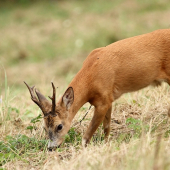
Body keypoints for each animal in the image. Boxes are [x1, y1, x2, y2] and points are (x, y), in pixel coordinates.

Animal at [24, 29, 170, 150]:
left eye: (59, 126)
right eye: (44, 127)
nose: (51, 147)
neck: (91, 76)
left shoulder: (103, 101)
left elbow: (88, 134)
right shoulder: (109, 99)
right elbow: (107, 127)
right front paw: (106, 144)